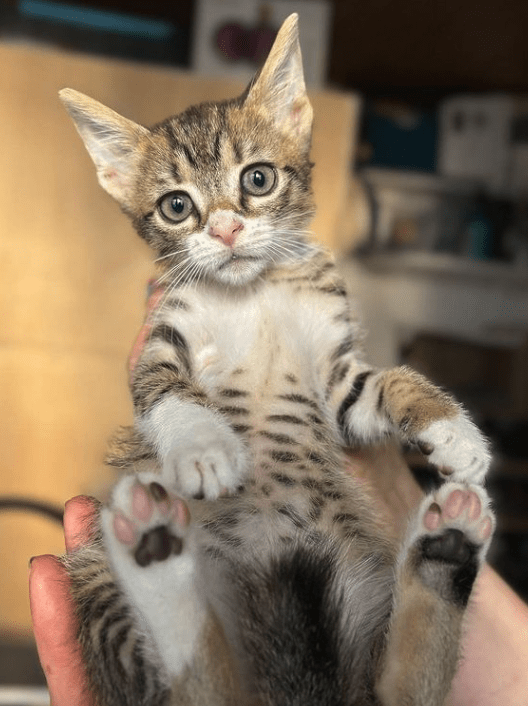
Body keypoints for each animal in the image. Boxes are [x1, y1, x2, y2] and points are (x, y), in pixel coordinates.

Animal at [62, 15, 496, 704]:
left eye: (257, 179)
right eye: (177, 206)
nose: (226, 231)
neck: (255, 290)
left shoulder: (340, 380)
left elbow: (391, 383)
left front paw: (454, 431)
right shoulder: (162, 338)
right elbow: (167, 391)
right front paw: (203, 446)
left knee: (400, 691)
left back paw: (446, 545)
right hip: (96, 579)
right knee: (190, 686)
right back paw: (156, 552)